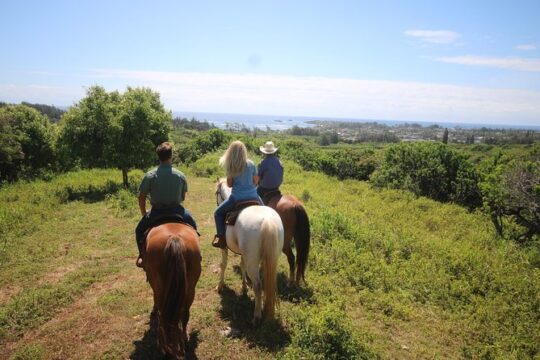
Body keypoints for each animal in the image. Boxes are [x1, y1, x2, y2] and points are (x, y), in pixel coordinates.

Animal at [144, 224, 201, 358]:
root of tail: (175, 238)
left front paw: (153, 311)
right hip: (190, 289)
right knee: (185, 314)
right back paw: (184, 339)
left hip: (160, 289)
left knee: (163, 315)